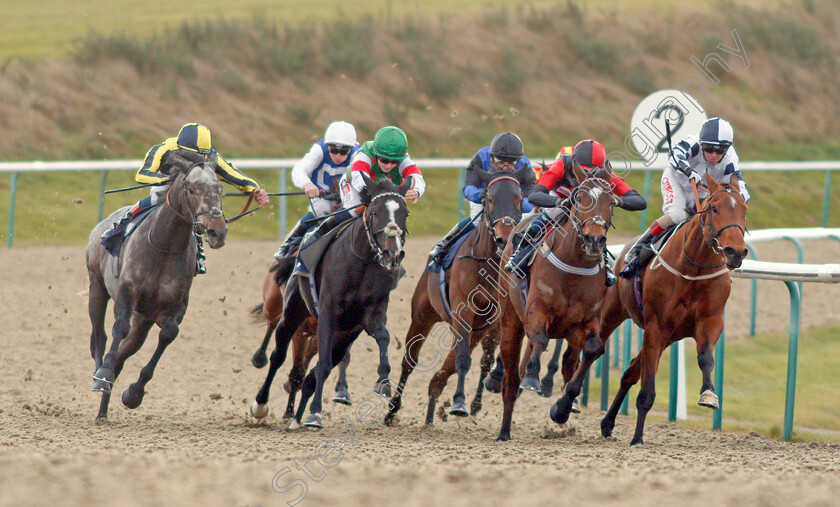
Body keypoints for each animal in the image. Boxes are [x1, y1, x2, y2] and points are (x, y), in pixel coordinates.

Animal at [85, 154, 226, 420]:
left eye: (220, 188)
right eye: (191, 189)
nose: (217, 231)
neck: (165, 246)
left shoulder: (175, 306)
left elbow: (168, 334)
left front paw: (133, 393)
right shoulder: (126, 292)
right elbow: (119, 326)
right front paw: (104, 375)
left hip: (144, 318)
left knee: (127, 348)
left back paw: (103, 409)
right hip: (96, 285)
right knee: (100, 336)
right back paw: (101, 376)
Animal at [249, 175, 410, 428]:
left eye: (405, 213)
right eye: (375, 212)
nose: (392, 254)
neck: (360, 262)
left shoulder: (368, 317)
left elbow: (383, 337)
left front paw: (383, 382)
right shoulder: (327, 314)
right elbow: (320, 365)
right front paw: (315, 412)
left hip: (342, 336)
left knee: (310, 373)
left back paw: (297, 418)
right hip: (292, 311)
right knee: (278, 356)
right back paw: (261, 403)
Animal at [384, 167, 528, 424]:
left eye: (519, 199)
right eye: (489, 199)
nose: (504, 238)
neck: (487, 263)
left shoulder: (492, 320)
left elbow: (478, 360)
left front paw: (471, 402)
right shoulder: (464, 311)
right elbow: (461, 360)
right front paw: (459, 403)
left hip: (478, 330)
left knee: (459, 364)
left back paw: (436, 407)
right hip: (423, 314)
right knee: (410, 360)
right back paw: (392, 409)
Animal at [496, 163, 612, 440]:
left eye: (612, 202)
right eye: (579, 198)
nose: (594, 239)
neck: (574, 264)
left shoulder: (587, 320)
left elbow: (592, 349)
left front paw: (563, 407)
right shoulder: (537, 309)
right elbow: (540, 339)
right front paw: (533, 379)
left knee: (568, 359)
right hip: (511, 318)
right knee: (510, 378)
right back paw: (504, 431)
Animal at [596, 173, 748, 446]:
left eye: (744, 210)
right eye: (714, 208)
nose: (736, 252)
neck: (694, 268)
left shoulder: (709, 322)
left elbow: (705, 357)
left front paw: (708, 395)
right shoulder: (656, 326)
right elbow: (647, 390)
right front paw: (637, 438)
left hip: (667, 336)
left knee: (630, 372)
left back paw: (607, 422)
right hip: (615, 311)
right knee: (591, 351)